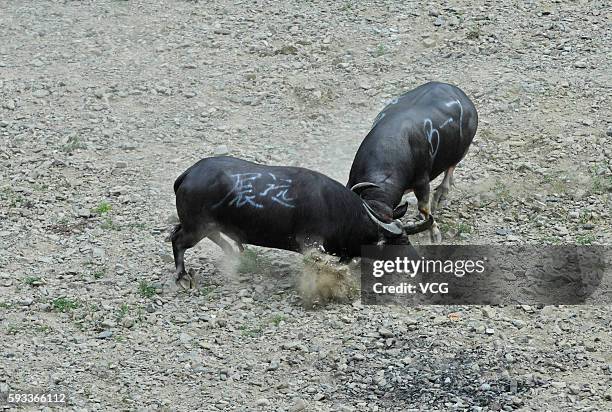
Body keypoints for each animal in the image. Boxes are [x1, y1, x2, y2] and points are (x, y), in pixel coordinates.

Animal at [170, 156, 432, 288]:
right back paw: (182, 277)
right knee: (178, 240)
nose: (419, 261)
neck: (338, 210)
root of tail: (188, 174)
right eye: (399, 240)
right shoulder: (311, 243)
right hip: (196, 227)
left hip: (204, 226)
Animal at [346, 81, 476, 241]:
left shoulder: (422, 181)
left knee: (450, 167)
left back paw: (440, 195)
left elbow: (424, 207)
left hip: (463, 149)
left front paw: (435, 234)